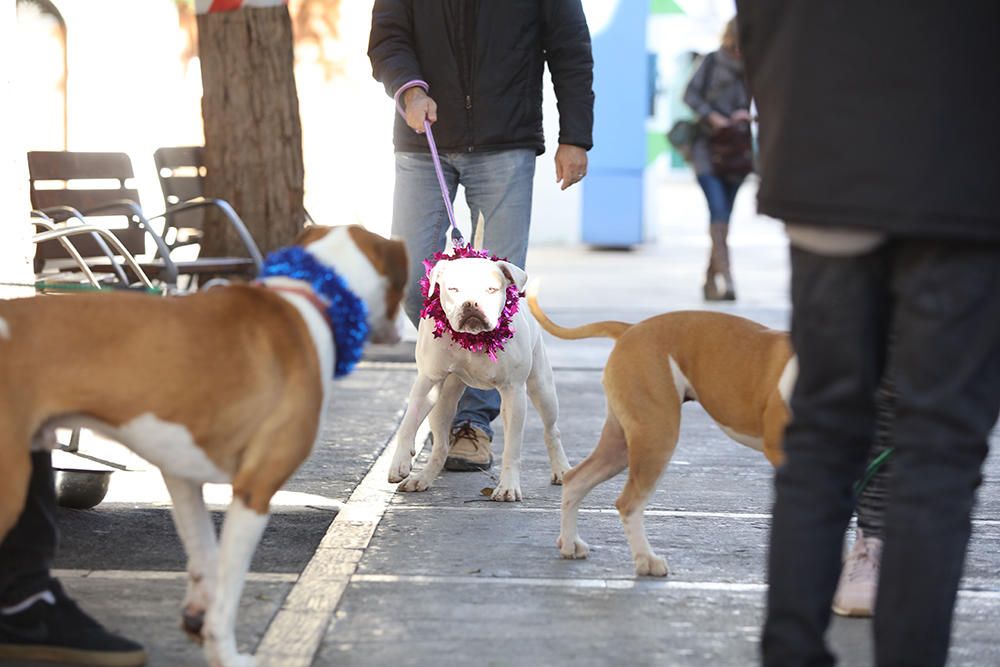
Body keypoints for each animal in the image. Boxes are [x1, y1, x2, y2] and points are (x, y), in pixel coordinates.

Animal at [0, 226, 406, 667]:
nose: (406, 326)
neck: (312, 294)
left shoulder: (183, 480)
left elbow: (207, 558)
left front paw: (198, 616)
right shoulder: (255, 490)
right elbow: (229, 589)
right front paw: (225, 652)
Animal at [384, 256, 568, 500]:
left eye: (491, 289)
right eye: (453, 289)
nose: (471, 303)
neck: (472, 337)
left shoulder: (513, 391)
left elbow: (512, 448)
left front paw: (508, 487)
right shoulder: (428, 381)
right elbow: (407, 422)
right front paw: (400, 462)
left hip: (542, 389)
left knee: (551, 431)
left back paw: (561, 470)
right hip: (442, 402)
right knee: (441, 446)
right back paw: (422, 478)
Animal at [524, 288, 796, 580]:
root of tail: (631, 329)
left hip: (622, 442)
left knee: (577, 478)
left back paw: (570, 544)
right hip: (656, 435)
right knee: (628, 502)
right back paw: (646, 560)